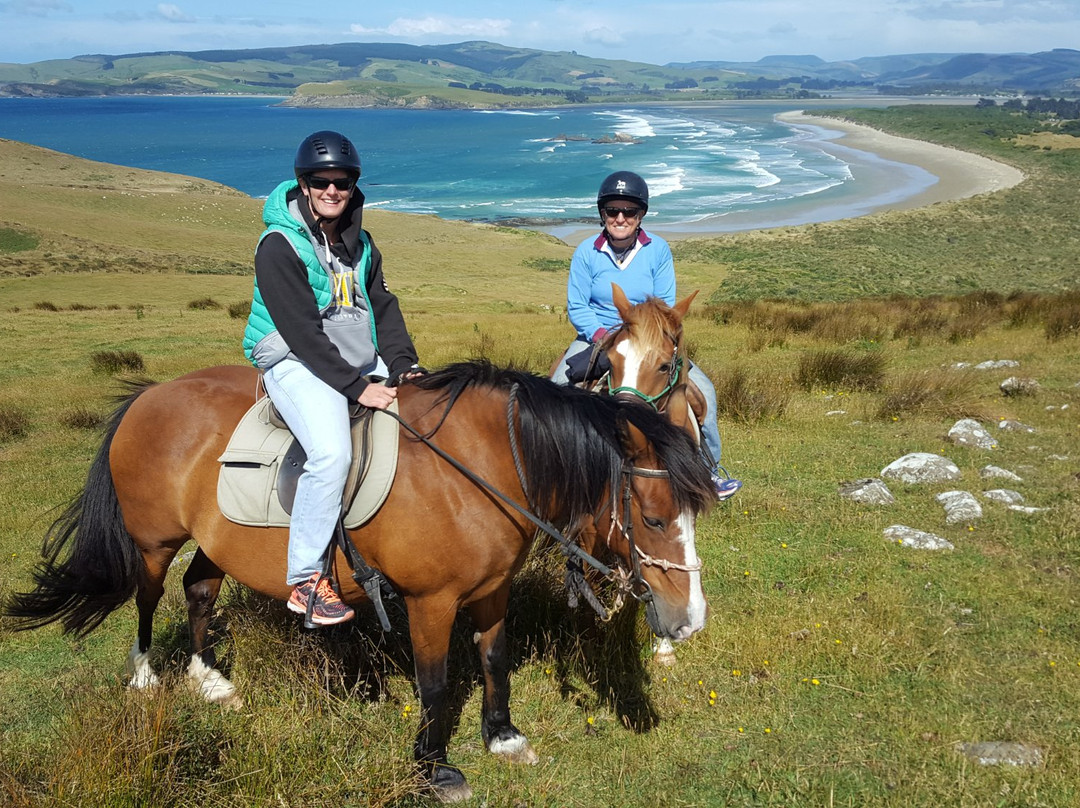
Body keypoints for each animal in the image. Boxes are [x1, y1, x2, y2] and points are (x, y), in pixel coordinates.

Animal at [8, 360, 717, 803]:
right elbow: (435, 685)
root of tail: (149, 394)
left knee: (200, 593)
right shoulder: (431, 603)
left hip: (217, 542)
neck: (479, 467)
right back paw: (146, 676)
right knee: (149, 598)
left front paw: (503, 736)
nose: (688, 621)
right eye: (655, 518)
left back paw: (210, 680)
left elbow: (494, 660)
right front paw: (434, 769)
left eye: (693, 512)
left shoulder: (492, 591)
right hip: (154, 544)